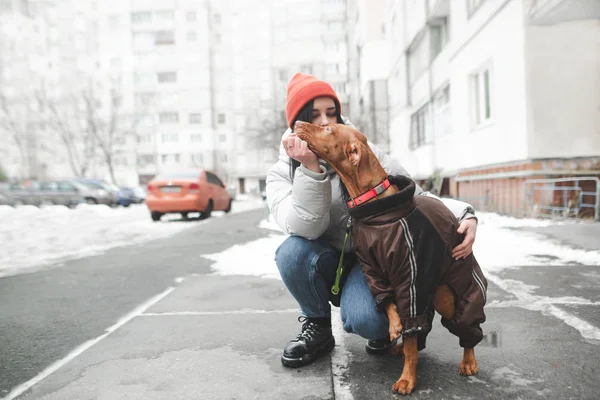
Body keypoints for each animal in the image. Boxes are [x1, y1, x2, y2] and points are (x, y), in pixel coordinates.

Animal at [296, 121, 488, 394]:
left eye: (328, 129)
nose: (297, 124)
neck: (374, 209)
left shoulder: (411, 277)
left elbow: (411, 336)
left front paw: (407, 379)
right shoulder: (373, 270)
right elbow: (386, 303)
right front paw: (394, 325)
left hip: (450, 297)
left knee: (465, 326)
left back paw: (468, 360)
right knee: (422, 326)